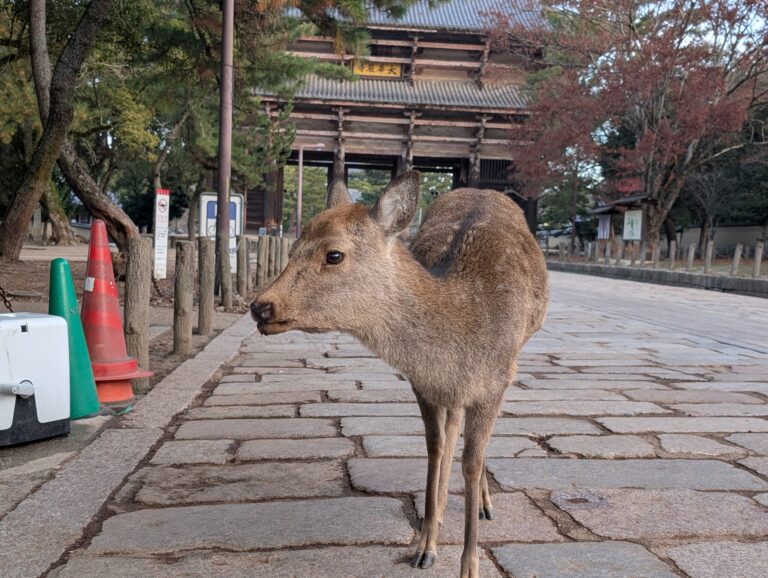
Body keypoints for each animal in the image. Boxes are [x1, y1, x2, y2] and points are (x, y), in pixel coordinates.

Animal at [251, 171, 549, 577]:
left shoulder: (495, 383)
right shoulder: (422, 385)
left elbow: (471, 462)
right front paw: (425, 544)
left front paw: (469, 565)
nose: (260, 306)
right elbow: (436, 447)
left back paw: (484, 504)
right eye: (293, 247)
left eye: (334, 254)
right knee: (452, 428)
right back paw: (441, 510)